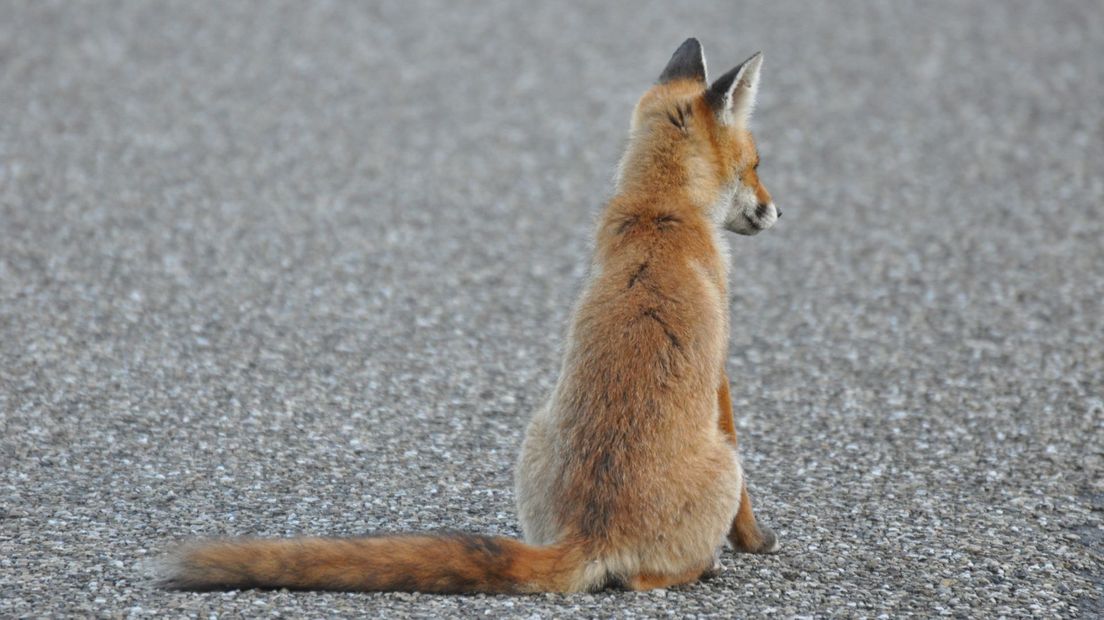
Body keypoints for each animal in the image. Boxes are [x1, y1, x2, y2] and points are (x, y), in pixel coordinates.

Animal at [160, 37, 781, 586]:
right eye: (756, 164)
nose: (777, 212)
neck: (659, 210)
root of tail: (590, 534)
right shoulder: (720, 374)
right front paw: (754, 540)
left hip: (533, 433)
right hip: (722, 464)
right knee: (642, 578)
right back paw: (704, 566)